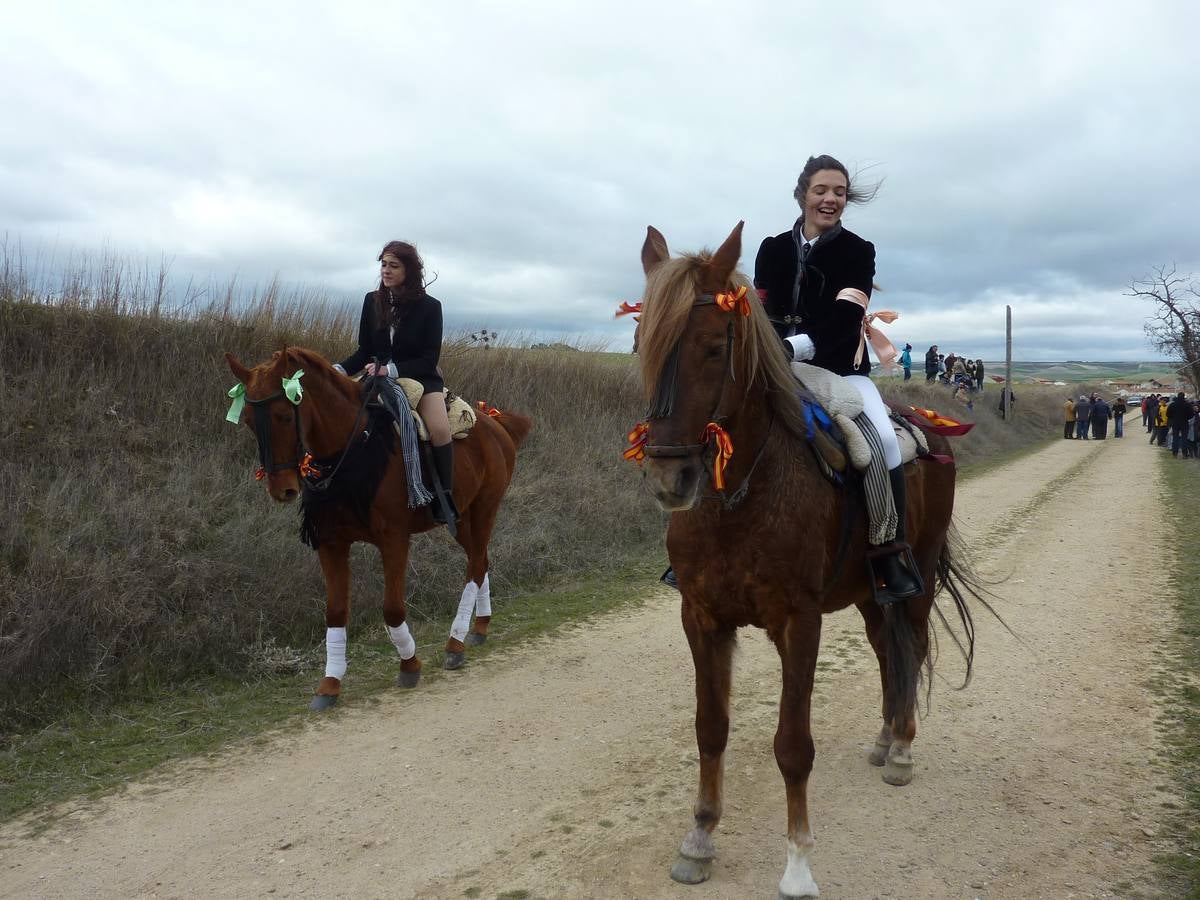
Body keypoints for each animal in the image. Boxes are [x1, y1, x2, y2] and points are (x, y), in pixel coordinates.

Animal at [225, 347, 532, 710]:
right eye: (247, 420)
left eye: (285, 415)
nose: (282, 489)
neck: (353, 448)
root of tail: (494, 422)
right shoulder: (331, 543)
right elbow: (335, 612)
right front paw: (329, 684)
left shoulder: (394, 540)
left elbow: (392, 609)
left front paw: (409, 664)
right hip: (460, 520)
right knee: (481, 560)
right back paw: (479, 628)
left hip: (485, 508)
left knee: (474, 568)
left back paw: (455, 643)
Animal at [631, 223, 982, 898]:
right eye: (641, 345)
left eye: (713, 348)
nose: (669, 478)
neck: (739, 497)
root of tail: (928, 426)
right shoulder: (701, 618)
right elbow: (710, 728)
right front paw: (700, 838)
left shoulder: (800, 622)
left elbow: (793, 744)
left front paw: (797, 863)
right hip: (871, 595)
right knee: (887, 652)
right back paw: (884, 736)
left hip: (918, 578)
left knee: (914, 644)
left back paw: (902, 747)